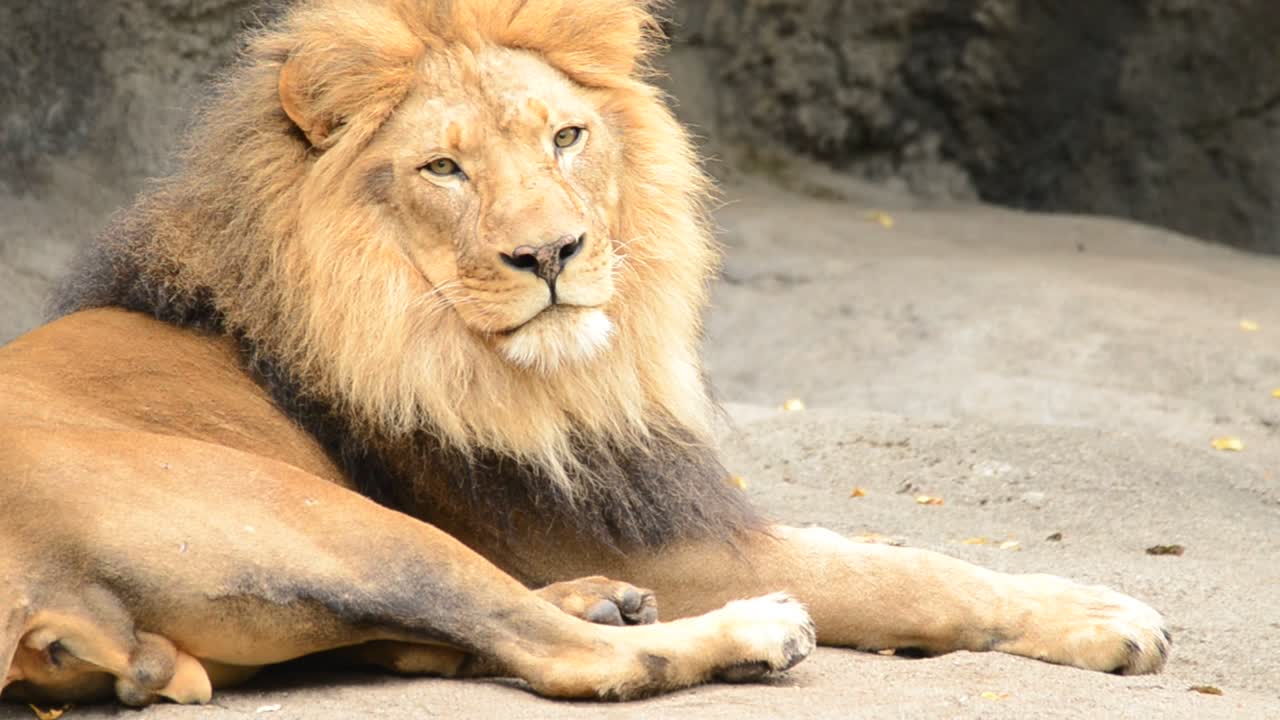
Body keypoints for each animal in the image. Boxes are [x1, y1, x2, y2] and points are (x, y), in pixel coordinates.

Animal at [0, 0, 1169, 707]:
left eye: (565, 137)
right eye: (443, 169)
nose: (550, 253)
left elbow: (876, 545)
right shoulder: (655, 538)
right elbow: (903, 575)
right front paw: (1109, 616)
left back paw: (598, 598)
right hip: (327, 516)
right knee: (564, 659)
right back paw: (744, 630)